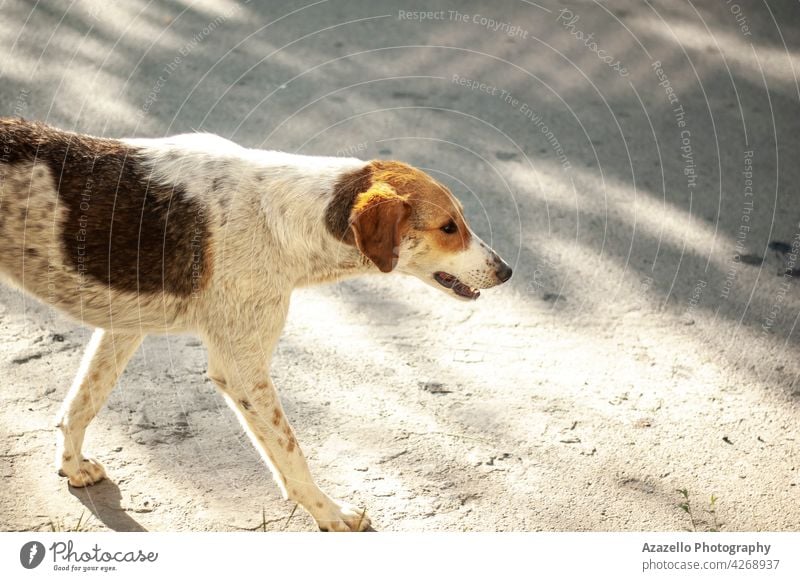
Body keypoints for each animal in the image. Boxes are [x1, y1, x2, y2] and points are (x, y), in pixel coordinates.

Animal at [0, 118, 512, 532]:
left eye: (460, 221)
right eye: (448, 227)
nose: (507, 271)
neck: (286, 219)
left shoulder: (123, 326)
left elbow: (81, 403)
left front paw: (71, 466)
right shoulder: (241, 369)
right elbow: (291, 453)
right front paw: (330, 514)